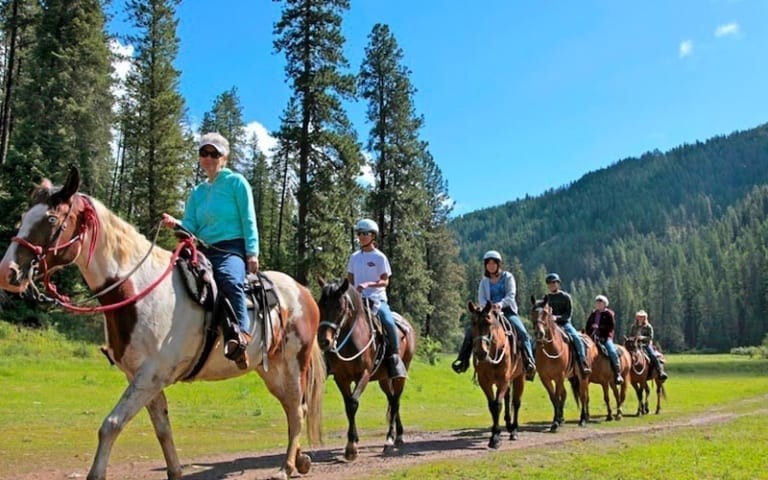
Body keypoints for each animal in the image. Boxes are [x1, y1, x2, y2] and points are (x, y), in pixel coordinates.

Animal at [0, 167, 324, 478]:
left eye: (52, 219)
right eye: (23, 217)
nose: (8, 272)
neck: (139, 289)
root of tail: (305, 293)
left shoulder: (150, 376)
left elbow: (111, 424)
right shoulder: (142, 378)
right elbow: (162, 428)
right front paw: (175, 471)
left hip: (293, 364)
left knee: (297, 410)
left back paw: (286, 467)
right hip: (270, 369)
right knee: (292, 408)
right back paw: (299, 461)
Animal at [316, 278, 416, 462]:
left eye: (339, 307)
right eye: (321, 305)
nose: (324, 341)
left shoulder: (364, 374)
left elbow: (353, 403)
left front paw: (351, 447)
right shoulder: (341, 378)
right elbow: (348, 406)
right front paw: (352, 443)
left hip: (400, 375)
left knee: (396, 401)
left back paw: (391, 439)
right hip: (384, 378)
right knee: (392, 400)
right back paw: (397, 435)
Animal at [464, 302, 524, 448]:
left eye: (488, 322)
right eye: (473, 322)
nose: (481, 353)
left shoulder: (503, 380)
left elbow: (498, 405)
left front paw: (496, 437)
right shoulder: (484, 381)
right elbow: (492, 405)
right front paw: (494, 435)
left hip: (519, 377)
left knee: (516, 402)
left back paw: (514, 430)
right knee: (508, 397)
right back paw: (509, 425)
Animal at [528, 296, 592, 432]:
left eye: (546, 313)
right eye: (533, 312)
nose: (539, 334)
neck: (551, 348)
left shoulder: (559, 376)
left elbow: (558, 396)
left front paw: (555, 423)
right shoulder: (545, 378)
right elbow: (554, 398)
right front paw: (556, 420)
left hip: (582, 377)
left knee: (583, 396)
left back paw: (583, 419)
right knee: (566, 394)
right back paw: (563, 419)